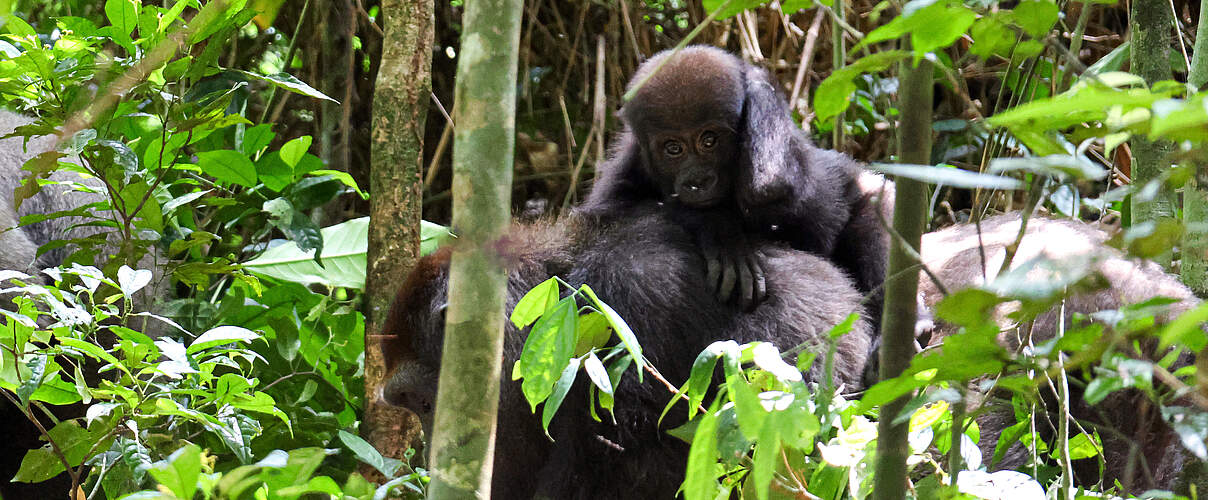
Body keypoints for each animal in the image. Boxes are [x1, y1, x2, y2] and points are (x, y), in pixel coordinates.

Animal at [580, 46, 891, 322]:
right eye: (673, 149)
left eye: (709, 141)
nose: (698, 181)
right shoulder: (628, 168)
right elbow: (608, 219)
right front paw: (717, 229)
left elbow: (773, 185)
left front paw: (754, 80)